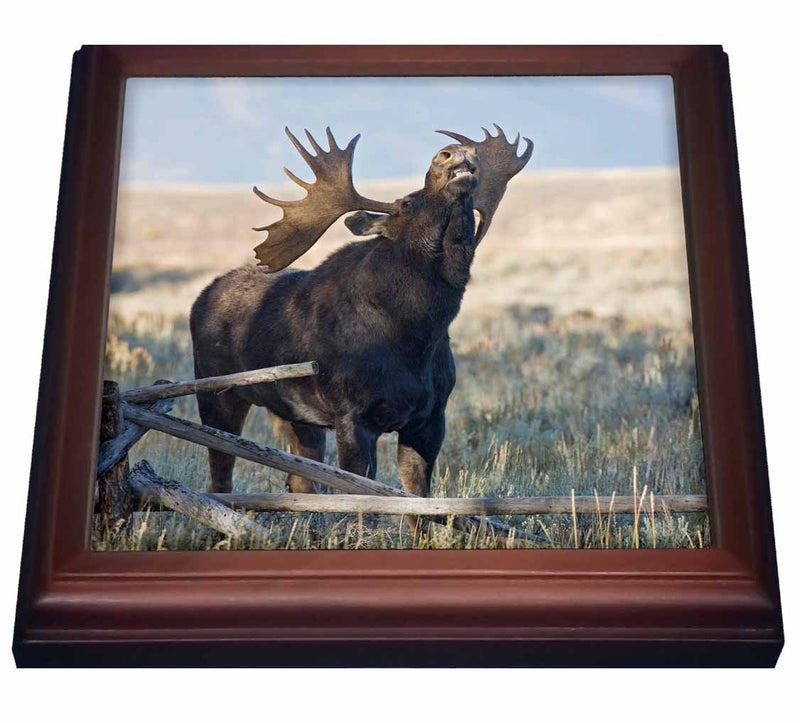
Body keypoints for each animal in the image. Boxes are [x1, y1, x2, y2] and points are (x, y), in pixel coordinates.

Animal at [190, 125, 532, 509]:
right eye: (406, 203)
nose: (451, 152)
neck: (416, 334)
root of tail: (200, 298)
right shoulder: (352, 416)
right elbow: (363, 498)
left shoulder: (430, 418)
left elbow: (417, 500)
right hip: (217, 393)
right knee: (221, 476)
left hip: (298, 415)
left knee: (300, 479)